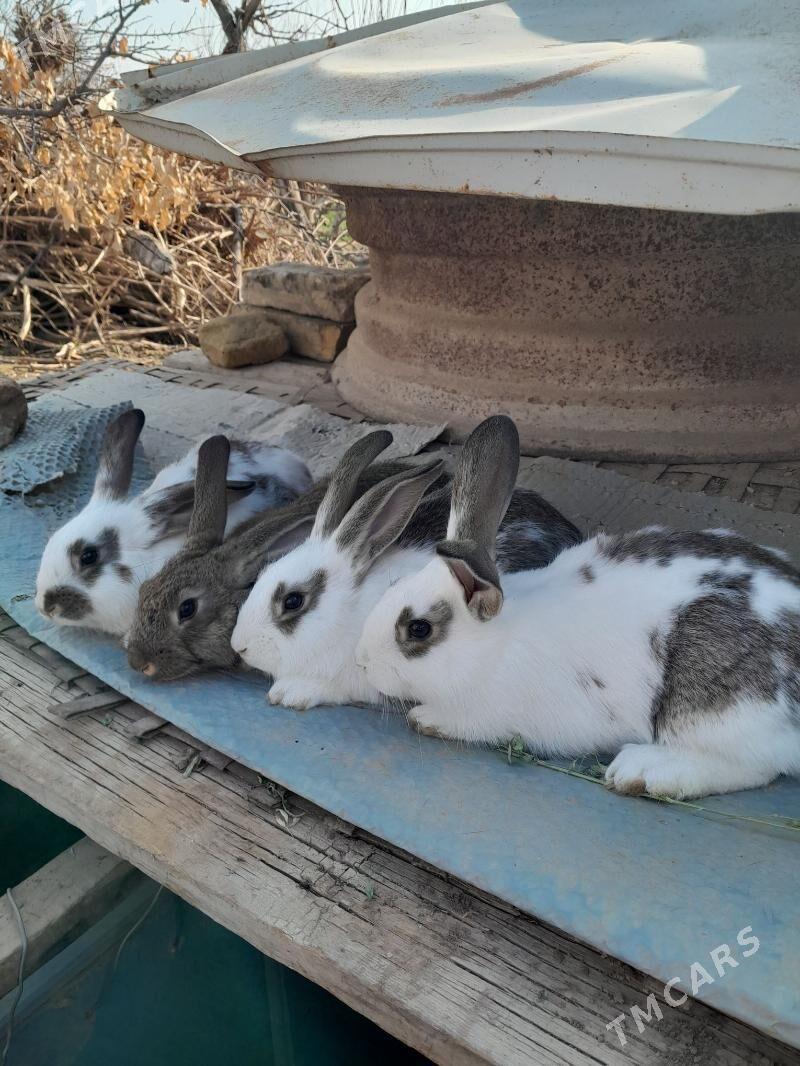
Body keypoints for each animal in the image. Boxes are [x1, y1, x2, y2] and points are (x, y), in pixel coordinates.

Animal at [354, 415, 800, 799]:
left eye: (419, 629)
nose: (365, 664)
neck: (493, 647)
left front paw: (425, 718)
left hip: (716, 709)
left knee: (754, 766)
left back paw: (641, 772)